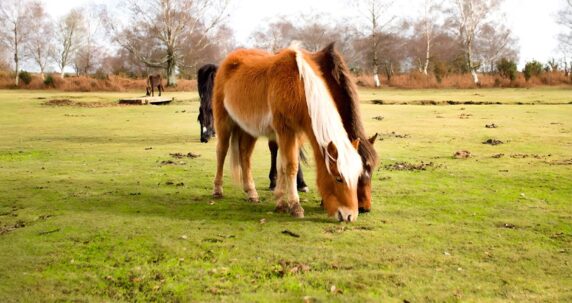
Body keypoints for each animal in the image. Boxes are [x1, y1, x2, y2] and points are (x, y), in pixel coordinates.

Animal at [212, 42, 378, 223]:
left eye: (358, 176)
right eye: (338, 178)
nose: (351, 215)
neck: (298, 86)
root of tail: (229, 60)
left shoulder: (296, 133)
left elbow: (283, 165)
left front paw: (280, 202)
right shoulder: (285, 130)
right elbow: (291, 165)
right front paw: (295, 206)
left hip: (248, 128)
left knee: (245, 155)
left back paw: (251, 193)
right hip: (224, 121)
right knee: (221, 151)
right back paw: (218, 190)